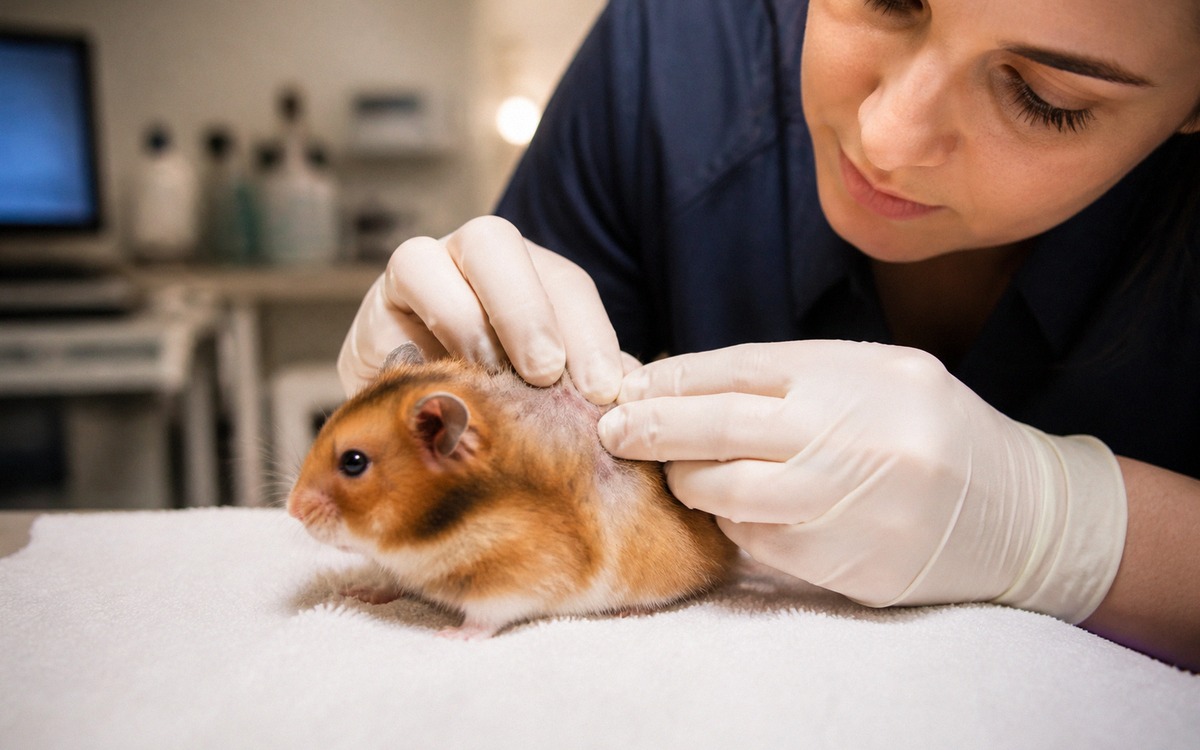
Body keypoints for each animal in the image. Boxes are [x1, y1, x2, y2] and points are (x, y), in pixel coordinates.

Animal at [287, 343, 738, 639]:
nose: (292, 510)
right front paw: (356, 592)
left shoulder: (518, 576)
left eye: (353, 462)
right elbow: (387, 581)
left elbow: (485, 616)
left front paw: (450, 634)